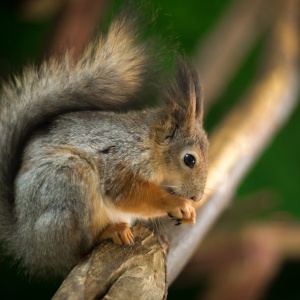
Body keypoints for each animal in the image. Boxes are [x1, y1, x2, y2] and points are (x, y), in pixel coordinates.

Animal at [0, 5, 209, 276]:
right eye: (189, 159)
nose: (196, 197)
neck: (148, 143)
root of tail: (28, 244)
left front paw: (187, 211)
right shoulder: (119, 160)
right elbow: (128, 194)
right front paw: (177, 203)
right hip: (68, 184)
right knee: (77, 251)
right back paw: (110, 232)